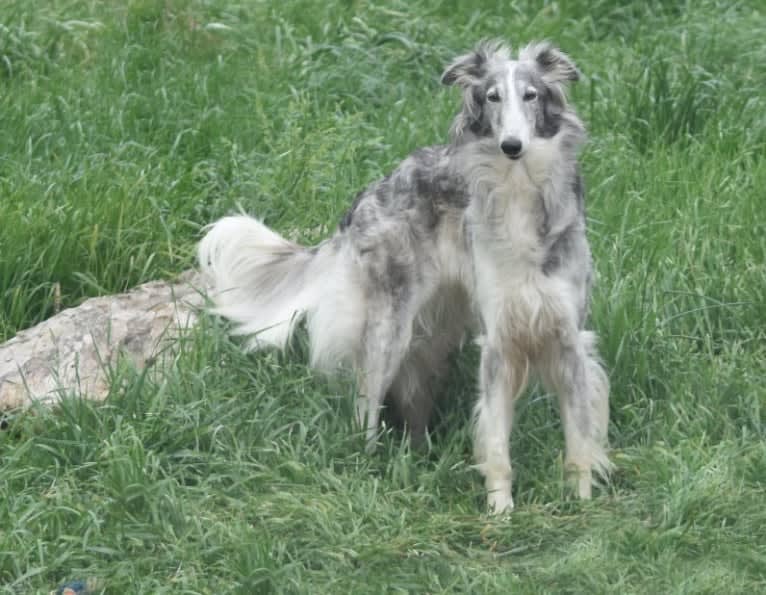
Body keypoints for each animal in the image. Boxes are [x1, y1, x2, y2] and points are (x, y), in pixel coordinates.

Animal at [198, 40, 612, 512]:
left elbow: (579, 441)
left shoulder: (568, 336)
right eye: (492, 97)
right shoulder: (499, 341)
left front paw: (581, 504)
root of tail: (367, 196)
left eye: (531, 95)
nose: (512, 145)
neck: (519, 190)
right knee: (366, 409)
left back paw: (419, 457)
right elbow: (496, 443)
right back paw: (372, 470)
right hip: (388, 332)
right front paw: (501, 511)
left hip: (433, 335)